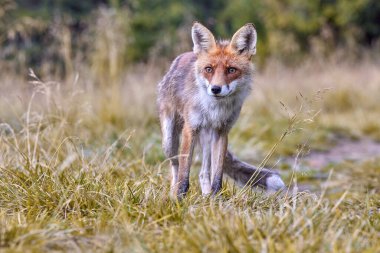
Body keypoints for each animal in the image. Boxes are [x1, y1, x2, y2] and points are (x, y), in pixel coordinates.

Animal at [156, 22, 284, 199]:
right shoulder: (191, 129)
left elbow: (217, 175)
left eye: (231, 70)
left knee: (203, 173)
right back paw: (172, 193)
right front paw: (179, 199)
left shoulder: (222, 131)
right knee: (174, 166)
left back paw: (206, 196)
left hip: (207, 139)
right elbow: (184, 173)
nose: (216, 89)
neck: (214, 110)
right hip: (170, 140)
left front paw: (215, 199)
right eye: (209, 69)